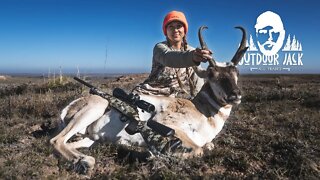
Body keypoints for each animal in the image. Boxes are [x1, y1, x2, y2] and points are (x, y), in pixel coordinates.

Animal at [50, 26, 249, 173]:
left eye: (236, 73)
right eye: (212, 74)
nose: (235, 95)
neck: (201, 110)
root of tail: (70, 106)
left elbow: (209, 146)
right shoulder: (171, 128)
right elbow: (200, 149)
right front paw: (152, 154)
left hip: (92, 138)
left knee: (70, 144)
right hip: (97, 107)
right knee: (56, 141)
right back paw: (88, 161)